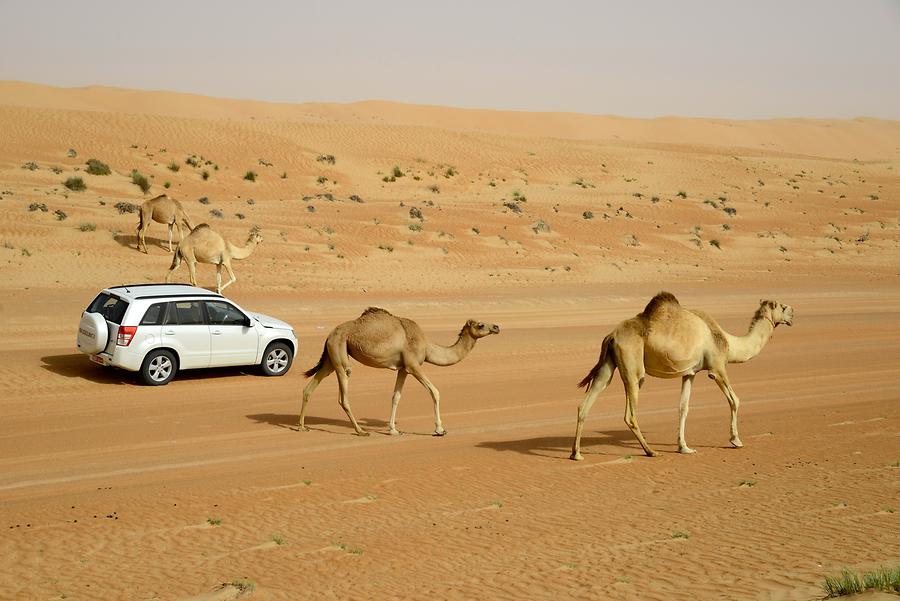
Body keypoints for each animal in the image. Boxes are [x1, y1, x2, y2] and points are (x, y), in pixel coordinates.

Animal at [300, 310, 500, 436]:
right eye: (481, 325)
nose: (496, 327)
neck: (427, 346)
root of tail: (329, 335)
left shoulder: (403, 369)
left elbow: (396, 397)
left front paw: (394, 430)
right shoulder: (413, 365)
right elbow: (434, 391)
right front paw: (439, 430)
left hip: (331, 357)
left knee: (310, 387)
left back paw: (302, 426)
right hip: (340, 352)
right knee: (343, 395)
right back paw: (360, 431)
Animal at [572, 292, 792, 460]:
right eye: (782, 307)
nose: (792, 313)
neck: (728, 343)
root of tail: (611, 335)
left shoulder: (690, 373)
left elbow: (683, 407)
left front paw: (684, 447)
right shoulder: (717, 368)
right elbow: (734, 400)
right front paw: (735, 440)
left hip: (607, 366)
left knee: (586, 403)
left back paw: (576, 454)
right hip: (633, 366)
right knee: (630, 413)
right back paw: (651, 451)